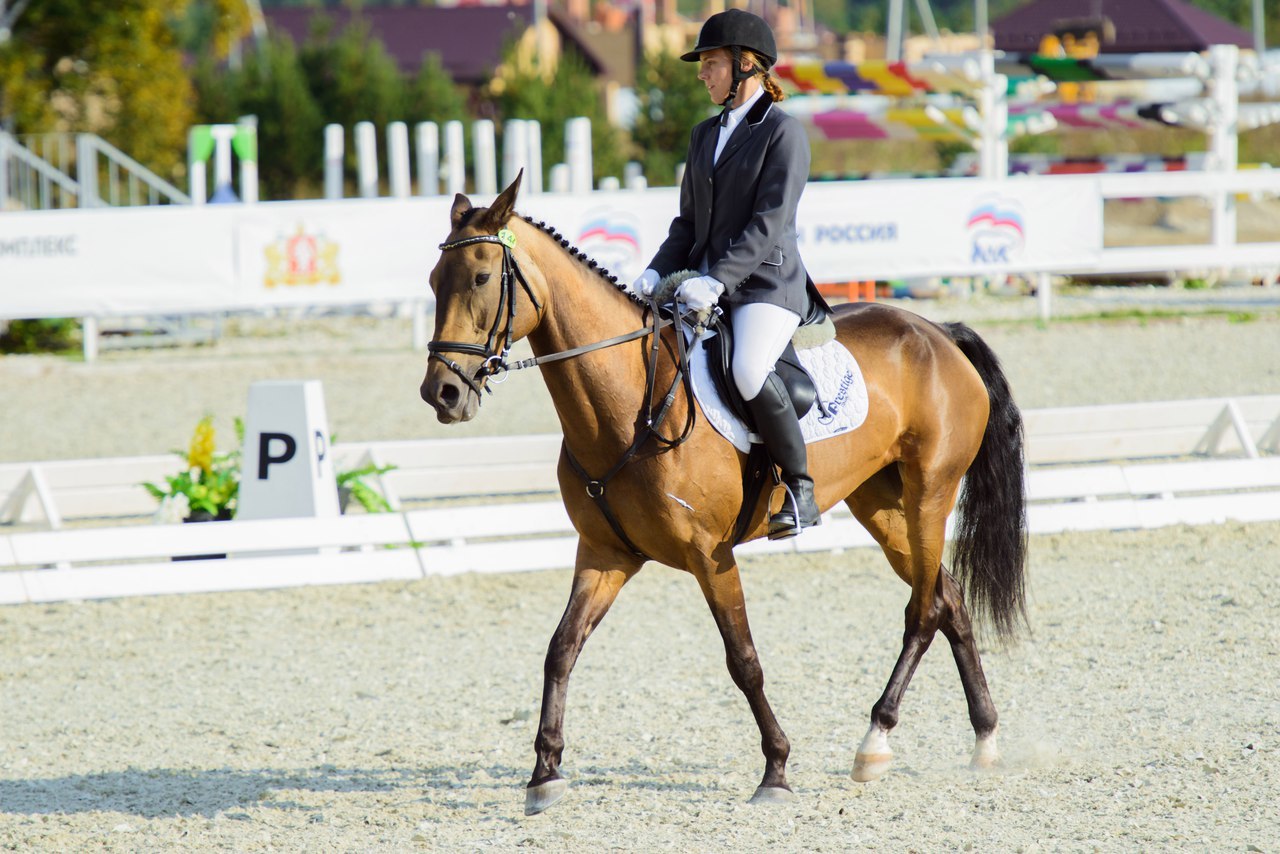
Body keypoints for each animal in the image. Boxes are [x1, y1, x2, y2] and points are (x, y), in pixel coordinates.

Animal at [419, 171, 1029, 814]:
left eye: (481, 278)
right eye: (435, 281)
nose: (442, 394)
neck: (631, 404)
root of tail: (938, 332)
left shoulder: (710, 556)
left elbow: (744, 661)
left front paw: (776, 770)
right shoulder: (604, 554)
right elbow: (561, 650)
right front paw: (544, 773)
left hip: (930, 491)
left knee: (924, 608)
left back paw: (875, 740)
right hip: (881, 504)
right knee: (949, 598)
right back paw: (984, 739)